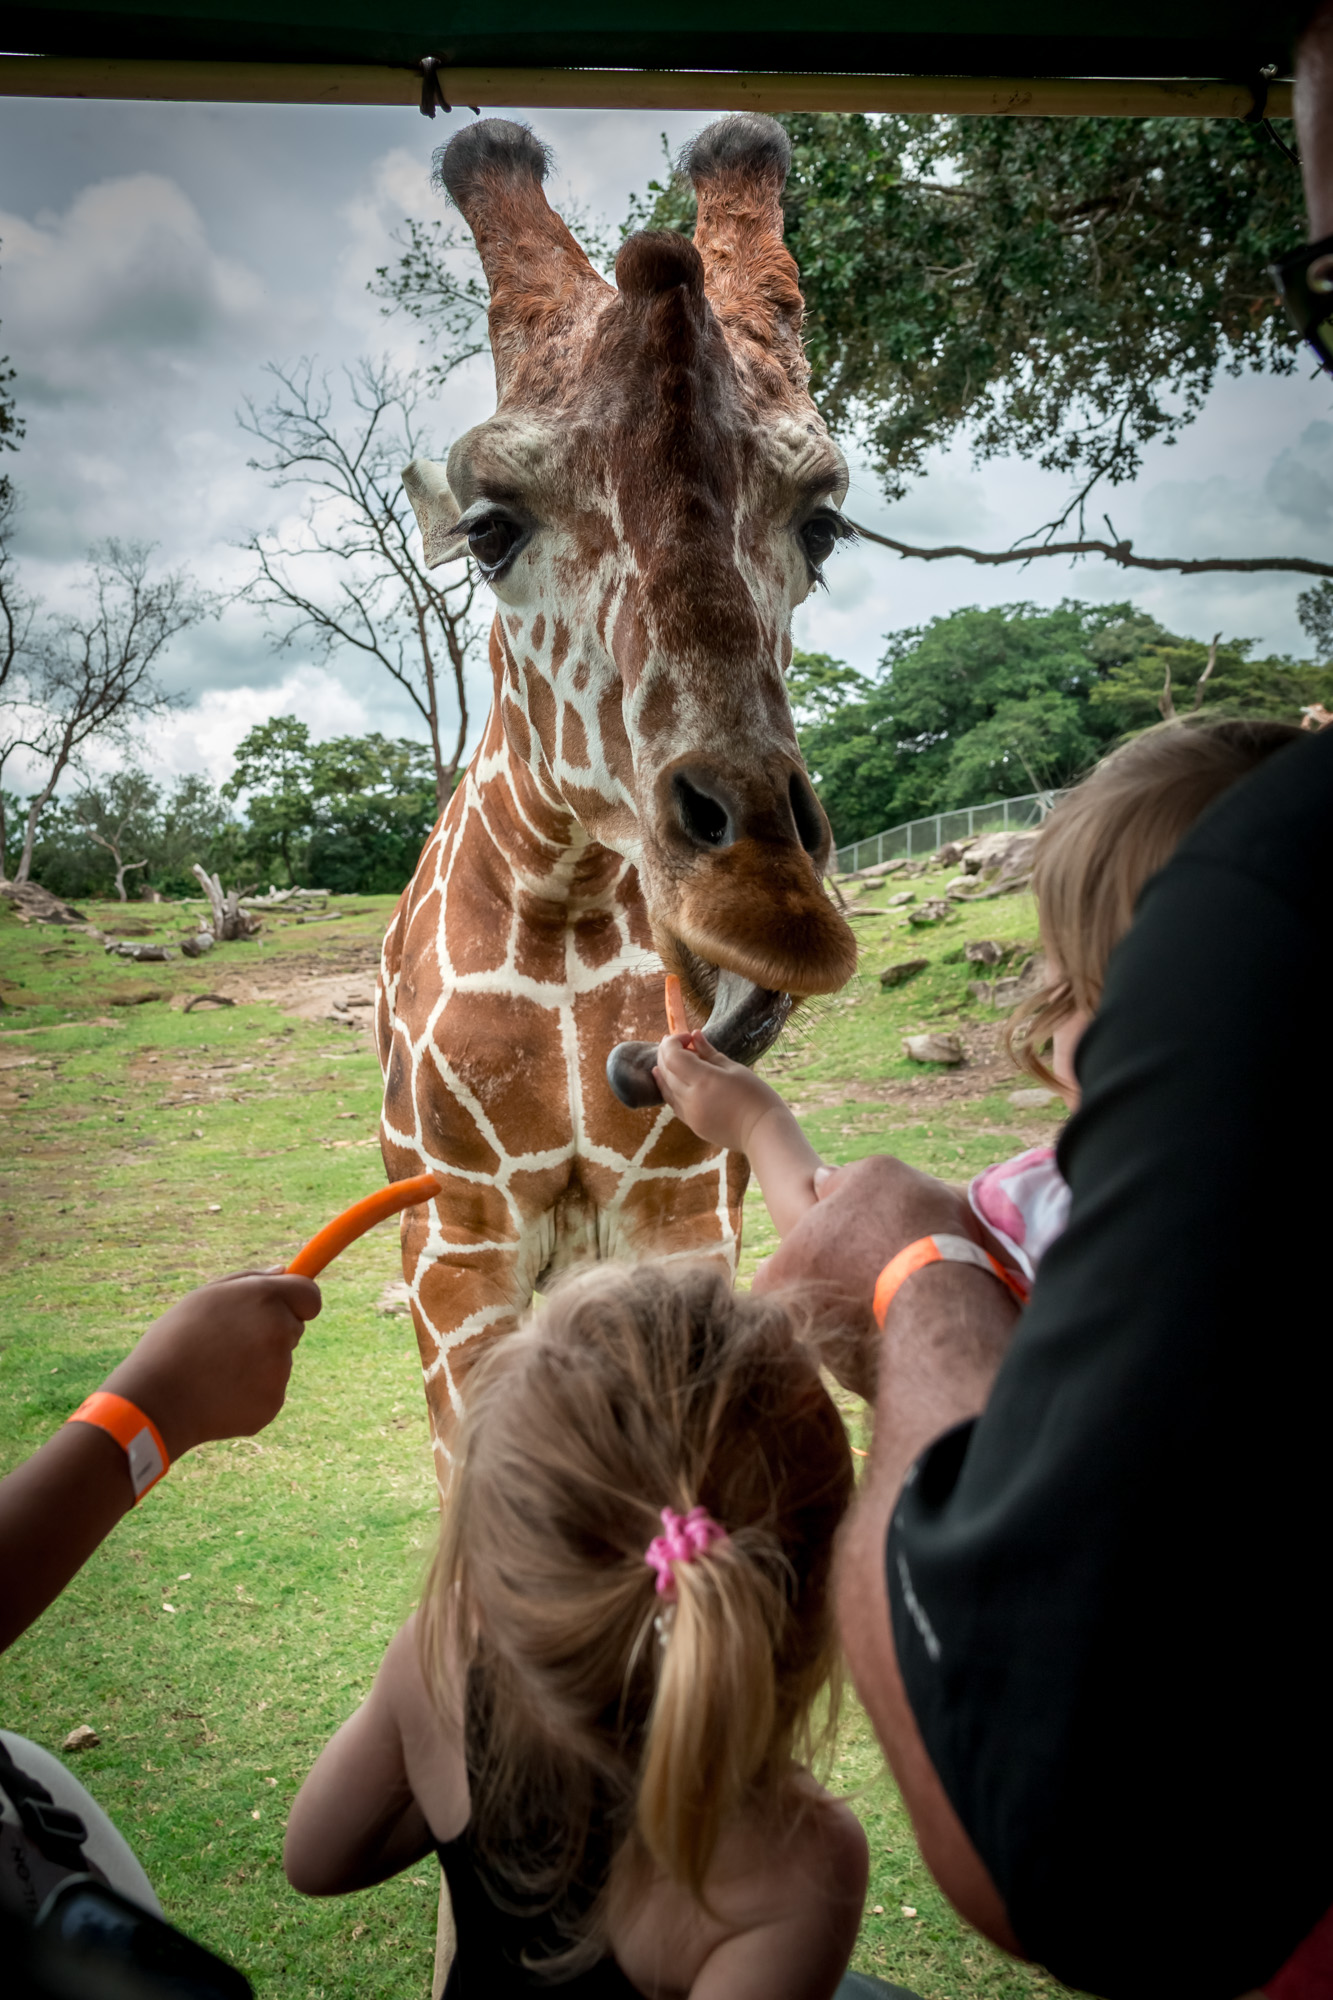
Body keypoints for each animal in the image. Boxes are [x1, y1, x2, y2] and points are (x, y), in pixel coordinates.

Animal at [376, 113, 852, 1472]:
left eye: (823, 524)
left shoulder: (683, 1210)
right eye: (488, 527)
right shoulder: (455, 1245)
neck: (570, 904)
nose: (766, 904)